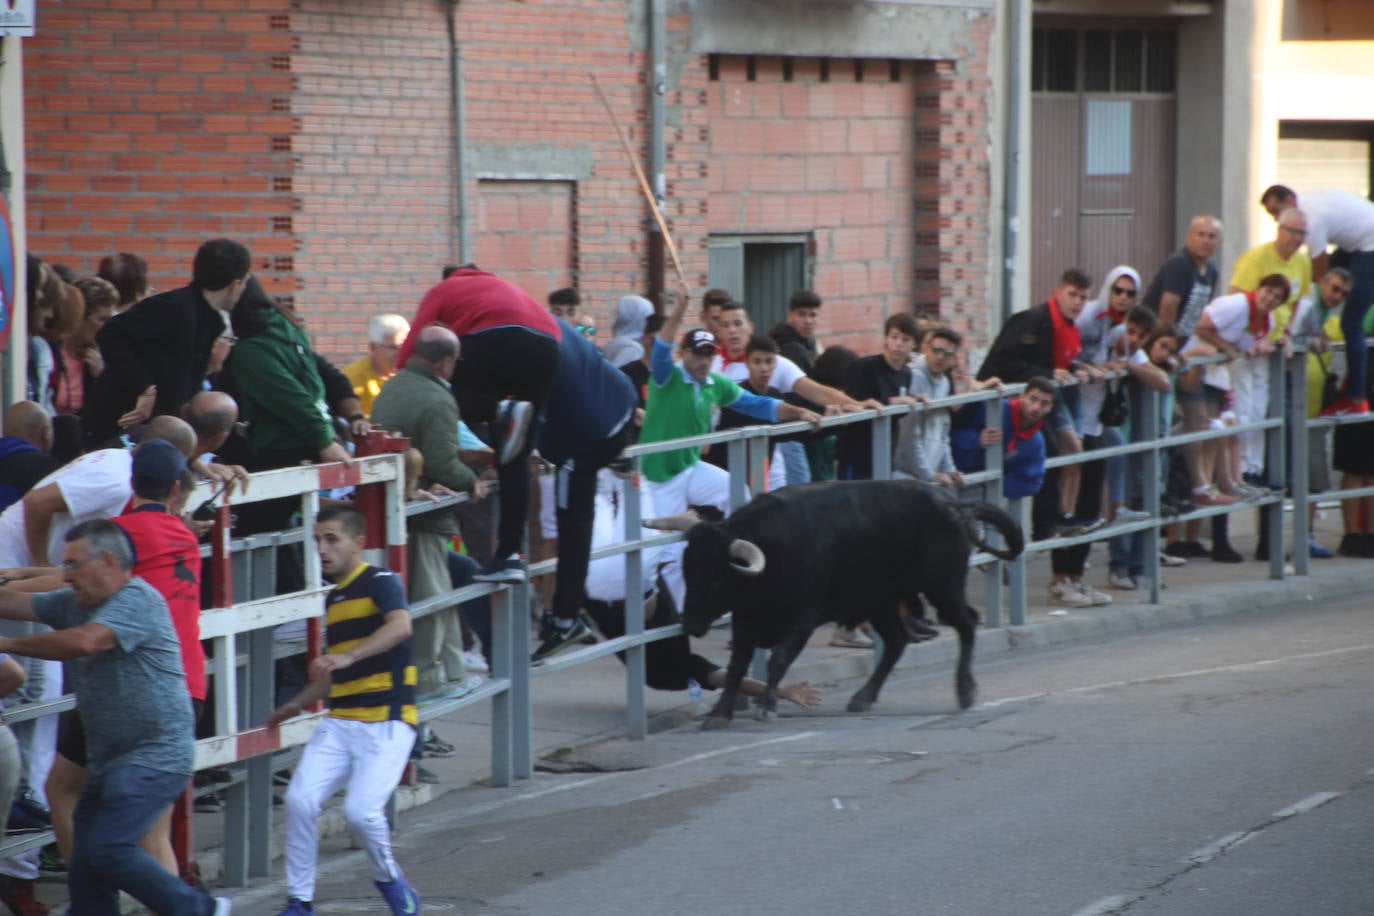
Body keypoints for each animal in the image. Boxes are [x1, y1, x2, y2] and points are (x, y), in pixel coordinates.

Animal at [648, 480, 1027, 730]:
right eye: (686, 571)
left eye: (716, 579)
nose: (691, 625)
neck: (772, 553)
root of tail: (951, 503)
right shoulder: (746, 621)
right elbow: (737, 665)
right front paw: (720, 714)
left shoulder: (803, 618)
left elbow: (778, 659)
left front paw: (767, 706)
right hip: (881, 601)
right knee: (897, 641)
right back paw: (863, 697)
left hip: (942, 587)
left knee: (966, 623)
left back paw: (965, 690)